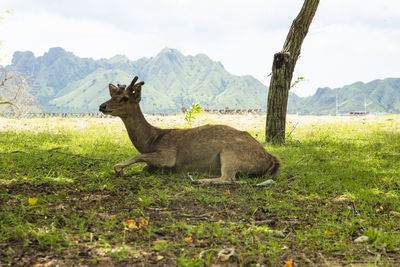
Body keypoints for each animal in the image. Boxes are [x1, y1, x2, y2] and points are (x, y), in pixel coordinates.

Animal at [99, 76, 282, 184]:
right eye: (112, 94)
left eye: (125, 98)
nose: (102, 106)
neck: (152, 140)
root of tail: (271, 159)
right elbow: (145, 165)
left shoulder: (168, 154)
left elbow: (138, 157)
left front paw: (120, 169)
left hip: (231, 153)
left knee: (228, 179)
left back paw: (196, 178)